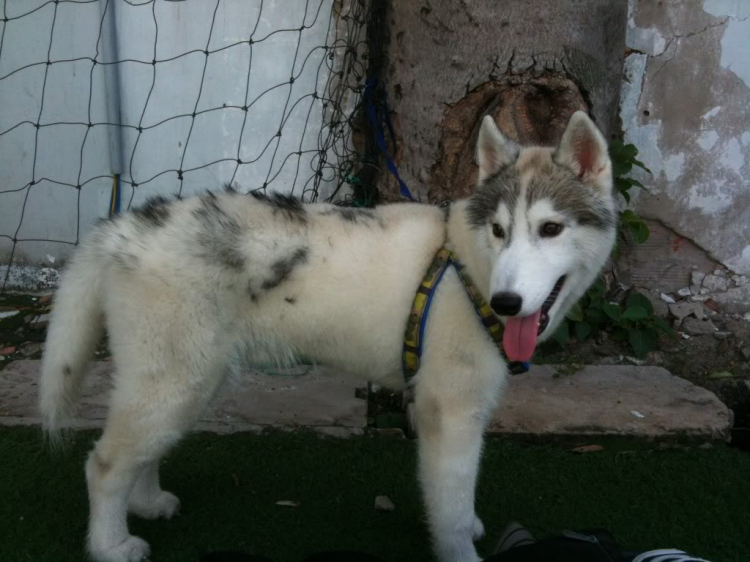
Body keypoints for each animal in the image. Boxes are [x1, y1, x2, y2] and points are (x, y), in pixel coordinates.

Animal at [39, 110, 616, 560]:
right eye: (498, 231)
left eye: (551, 229)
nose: (506, 304)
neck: (468, 266)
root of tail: (117, 229)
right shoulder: (448, 411)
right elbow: (449, 506)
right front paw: (461, 550)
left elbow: (459, 496)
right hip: (175, 380)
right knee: (103, 464)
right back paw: (111, 545)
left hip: (182, 381)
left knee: (141, 449)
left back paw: (146, 502)